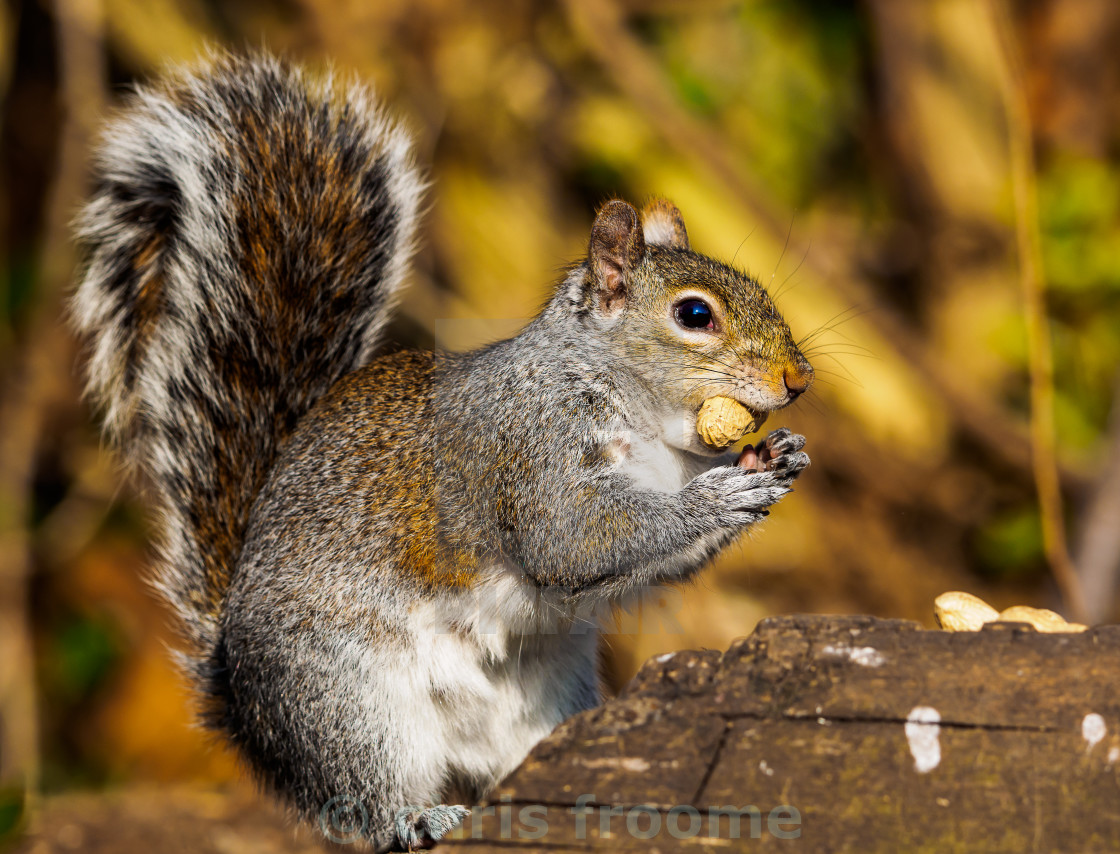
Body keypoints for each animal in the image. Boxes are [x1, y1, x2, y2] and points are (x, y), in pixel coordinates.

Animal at [70, 51, 810, 847]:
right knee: (364, 804)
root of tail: (243, 701)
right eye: (694, 314)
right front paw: (720, 493)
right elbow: (573, 538)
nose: (799, 379)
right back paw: (417, 816)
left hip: (543, 706)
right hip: (349, 701)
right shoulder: (525, 447)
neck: (651, 430)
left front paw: (772, 462)